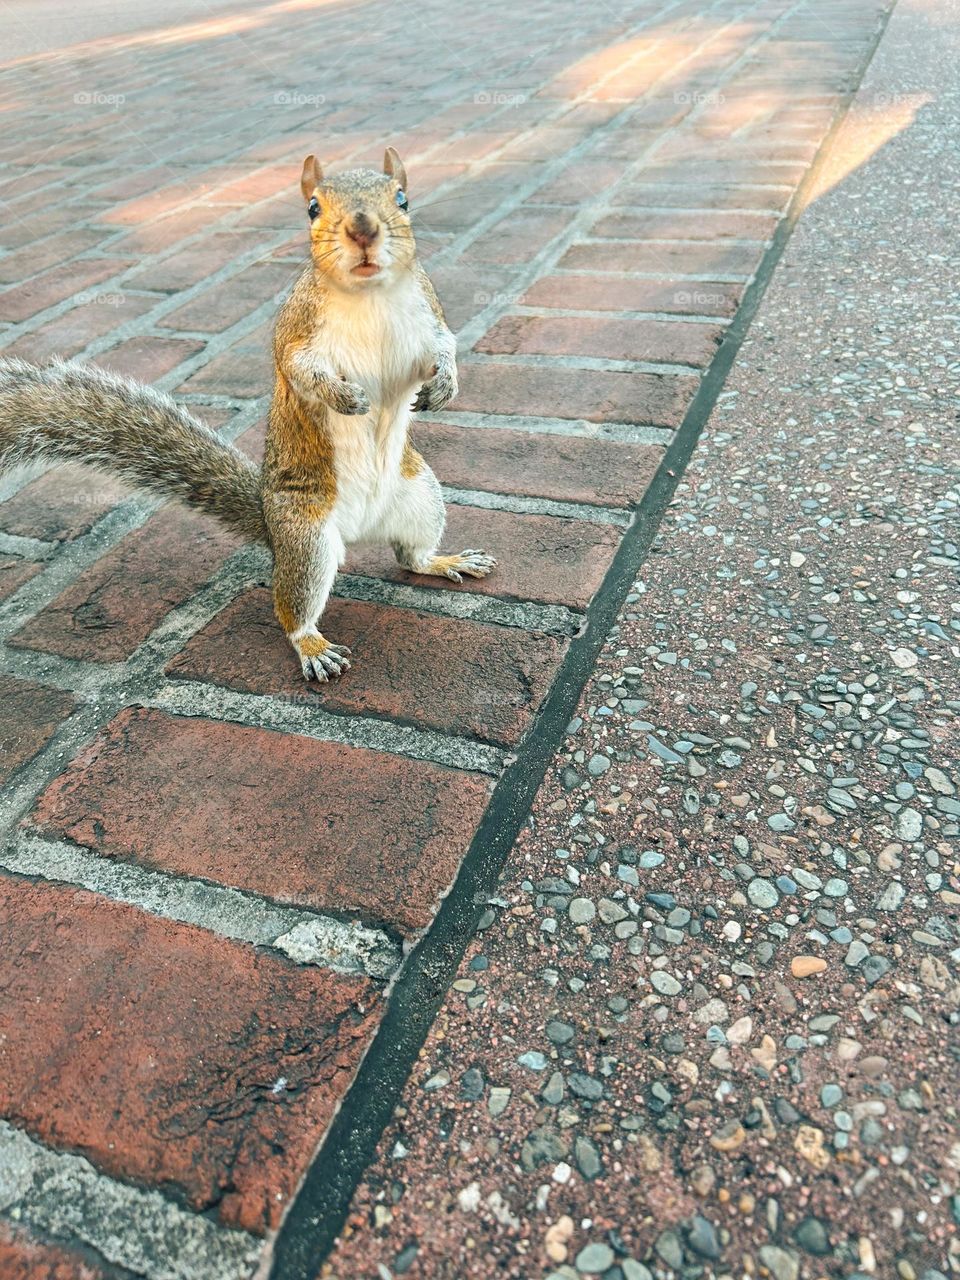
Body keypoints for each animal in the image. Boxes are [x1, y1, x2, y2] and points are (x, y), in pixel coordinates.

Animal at [0, 145, 496, 686]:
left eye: (403, 199)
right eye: (313, 208)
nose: (363, 230)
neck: (369, 296)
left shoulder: (429, 315)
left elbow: (446, 346)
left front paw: (445, 385)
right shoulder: (296, 332)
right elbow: (301, 370)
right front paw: (344, 397)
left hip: (420, 495)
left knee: (411, 556)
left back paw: (445, 560)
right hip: (307, 541)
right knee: (291, 609)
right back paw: (313, 646)